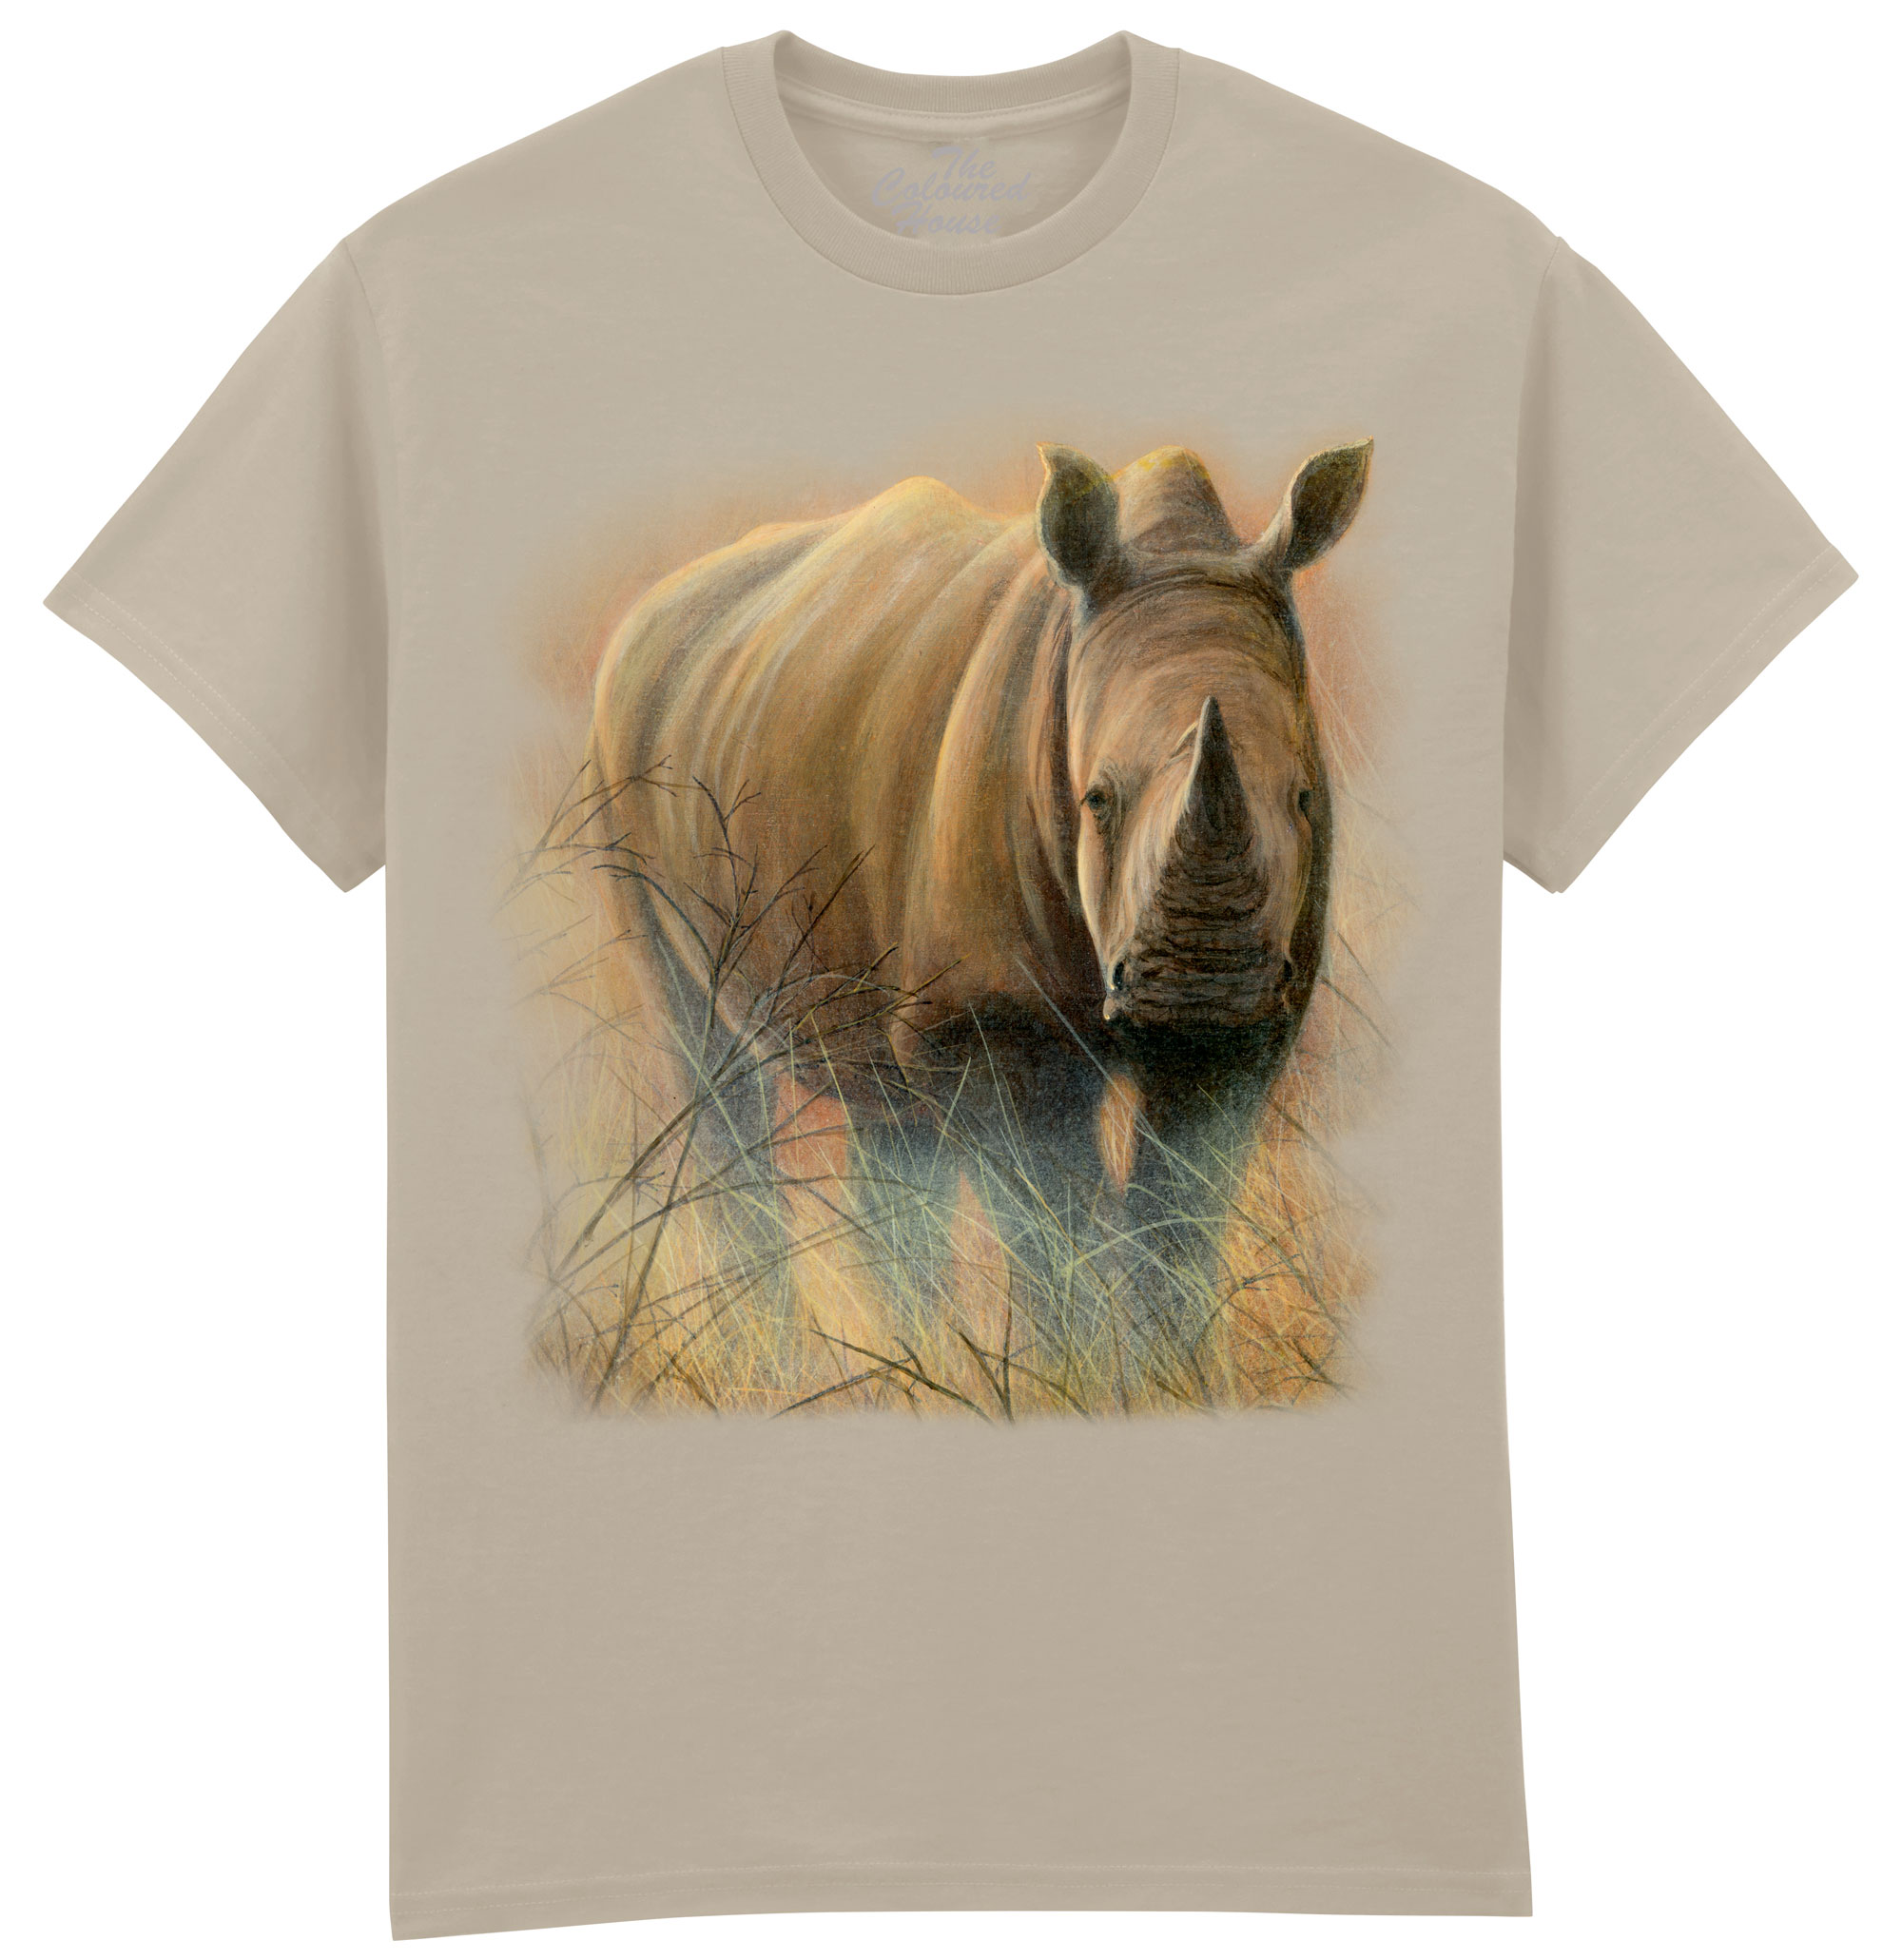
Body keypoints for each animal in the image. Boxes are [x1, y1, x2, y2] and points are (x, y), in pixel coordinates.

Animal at [590, 440, 1371, 1301]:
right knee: (703, 1052)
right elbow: (1047, 1223)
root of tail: (645, 612)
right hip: (625, 746)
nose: (1202, 984)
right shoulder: (986, 1015)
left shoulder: (1253, 1026)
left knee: (884, 1104)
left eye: (1304, 798)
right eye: (1096, 800)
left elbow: (1178, 1218)